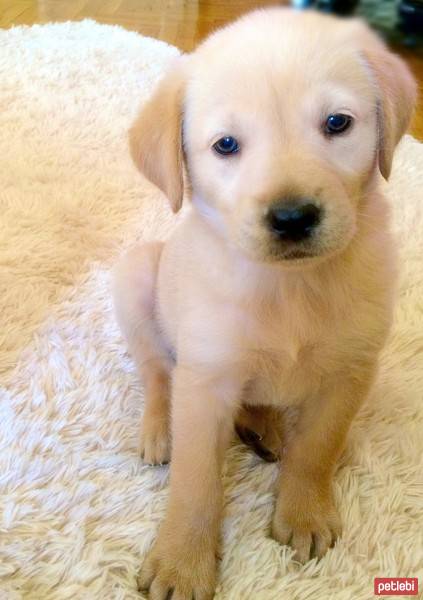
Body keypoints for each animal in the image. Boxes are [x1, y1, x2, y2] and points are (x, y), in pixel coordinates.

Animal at [112, 9, 418, 600]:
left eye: (337, 124)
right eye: (226, 145)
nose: (293, 217)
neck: (289, 287)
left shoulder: (350, 370)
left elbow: (318, 447)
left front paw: (303, 513)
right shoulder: (205, 382)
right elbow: (195, 482)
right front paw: (182, 561)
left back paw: (267, 429)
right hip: (136, 273)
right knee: (159, 371)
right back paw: (161, 428)